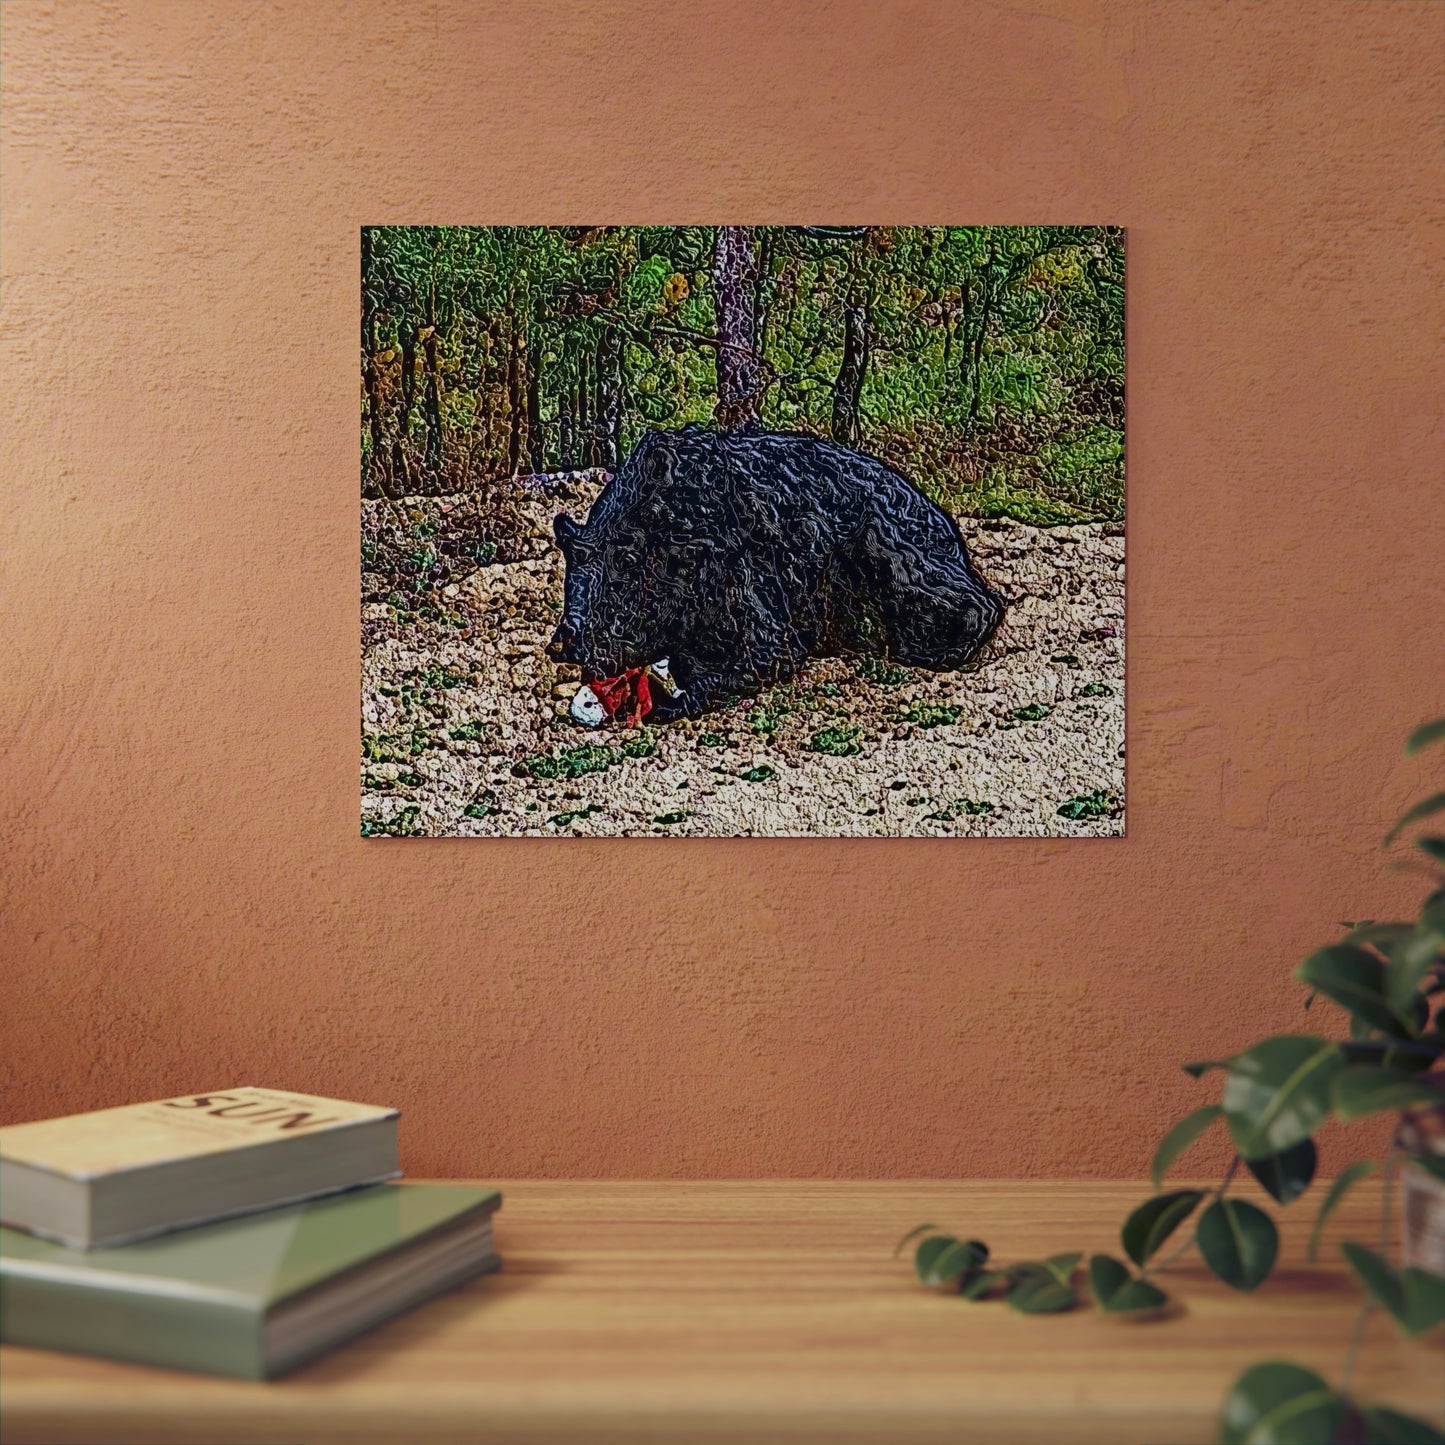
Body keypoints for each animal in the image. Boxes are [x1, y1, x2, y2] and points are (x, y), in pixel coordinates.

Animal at [546, 424, 1005, 720]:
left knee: (982, 608)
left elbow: (748, 663)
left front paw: (671, 702)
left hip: (891, 555)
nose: (566, 643)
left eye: (626, 560)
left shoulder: (765, 619)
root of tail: (952, 537)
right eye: (571, 564)